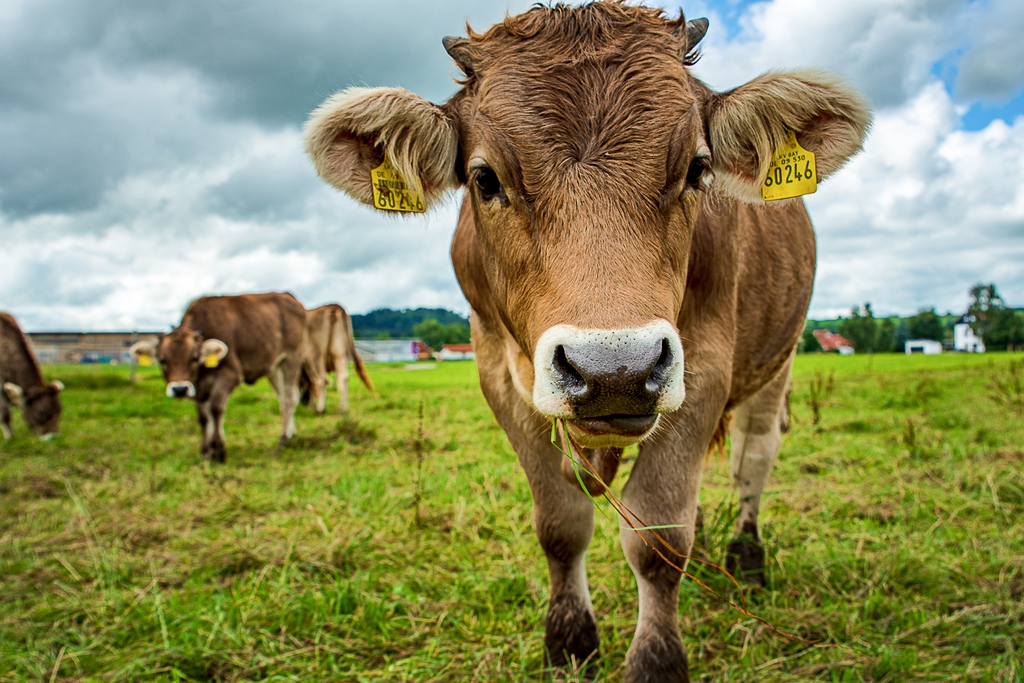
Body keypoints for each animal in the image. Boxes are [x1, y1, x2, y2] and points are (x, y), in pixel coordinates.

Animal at [130, 292, 307, 463]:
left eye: (194, 358)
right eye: (162, 360)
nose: (180, 389)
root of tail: (288, 296)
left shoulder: (230, 374)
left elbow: (215, 408)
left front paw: (219, 451)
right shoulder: (199, 386)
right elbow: (203, 416)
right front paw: (206, 452)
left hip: (291, 358)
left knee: (290, 397)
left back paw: (283, 440)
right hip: (274, 367)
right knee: (283, 397)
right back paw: (291, 437)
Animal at [304, 3, 870, 680]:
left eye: (698, 169)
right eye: (484, 179)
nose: (615, 370)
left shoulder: (703, 367)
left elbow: (658, 536)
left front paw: (656, 660)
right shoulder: (500, 374)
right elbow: (561, 524)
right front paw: (569, 640)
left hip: (774, 364)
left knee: (752, 458)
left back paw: (746, 556)